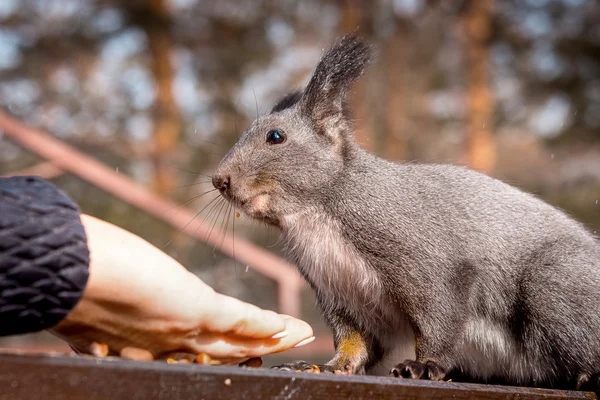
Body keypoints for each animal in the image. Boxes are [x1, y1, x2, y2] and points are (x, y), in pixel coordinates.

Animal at [213, 35, 600, 394]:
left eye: (275, 136)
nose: (219, 180)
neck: (314, 216)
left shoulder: (427, 261)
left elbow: (437, 317)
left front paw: (425, 365)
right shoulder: (339, 293)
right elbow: (353, 341)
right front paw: (327, 366)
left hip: (555, 284)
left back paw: (589, 375)